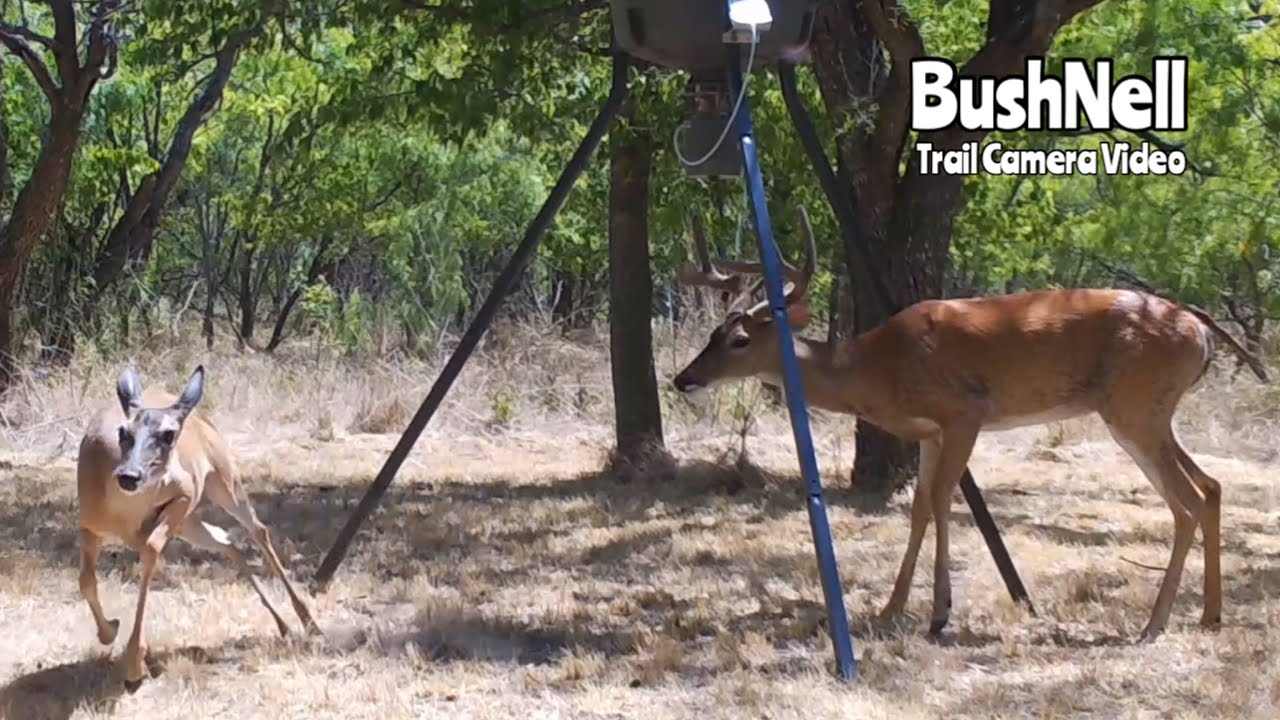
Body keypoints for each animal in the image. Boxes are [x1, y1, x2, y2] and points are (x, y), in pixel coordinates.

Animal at [77, 365, 320, 692]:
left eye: (169, 435)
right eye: (123, 432)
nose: (129, 475)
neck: (122, 512)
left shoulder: (184, 493)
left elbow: (151, 550)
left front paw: (135, 663)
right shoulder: (90, 524)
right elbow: (85, 580)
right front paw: (110, 631)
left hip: (223, 480)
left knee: (257, 529)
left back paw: (310, 623)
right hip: (188, 523)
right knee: (227, 541)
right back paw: (284, 625)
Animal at [672, 207, 1269, 641]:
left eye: (739, 340)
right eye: (713, 333)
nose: (683, 379)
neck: (876, 370)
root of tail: (1197, 324)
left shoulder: (964, 412)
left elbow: (940, 501)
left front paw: (939, 614)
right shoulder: (930, 432)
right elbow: (918, 508)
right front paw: (891, 609)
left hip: (1134, 407)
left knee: (1185, 502)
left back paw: (1154, 623)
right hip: (1153, 412)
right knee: (1211, 487)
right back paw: (1209, 616)